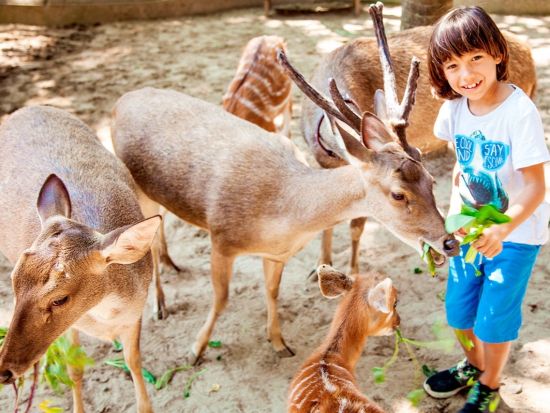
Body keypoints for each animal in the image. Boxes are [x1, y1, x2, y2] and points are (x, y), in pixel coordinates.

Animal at [0, 106, 161, 413]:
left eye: (60, 298)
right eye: (13, 281)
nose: (5, 369)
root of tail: (26, 108)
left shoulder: (134, 314)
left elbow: (135, 363)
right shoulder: (73, 327)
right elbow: (74, 369)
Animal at [301, 2, 538, 275]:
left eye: (431, 181)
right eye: (398, 194)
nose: (449, 244)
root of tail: (531, 56)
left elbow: (356, 225)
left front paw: (353, 273)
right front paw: (320, 266)